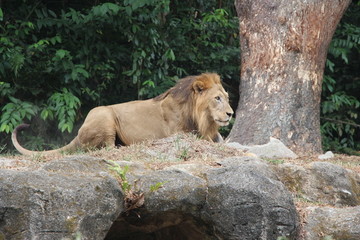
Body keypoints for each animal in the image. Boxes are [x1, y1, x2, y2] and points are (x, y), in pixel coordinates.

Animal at [11, 72, 233, 156]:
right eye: (217, 98)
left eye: (227, 97)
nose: (231, 114)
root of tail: (79, 132)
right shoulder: (180, 134)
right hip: (104, 115)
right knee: (106, 147)